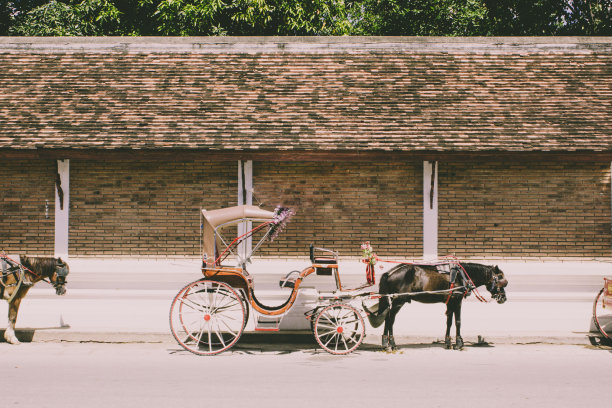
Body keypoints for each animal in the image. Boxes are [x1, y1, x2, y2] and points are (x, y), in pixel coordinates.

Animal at [364, 262, 506, 352]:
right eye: (500, 278)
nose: (503, 298)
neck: (460, 276)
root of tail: (390, 272)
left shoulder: (450, 303)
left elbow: (449, 322)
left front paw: (448, 342)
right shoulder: (457, 300)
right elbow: (458, 322)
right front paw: (459, 343)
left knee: (388, 318)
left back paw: (386, 343)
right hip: (399, 300)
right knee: (390, 319)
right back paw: (390, 344)